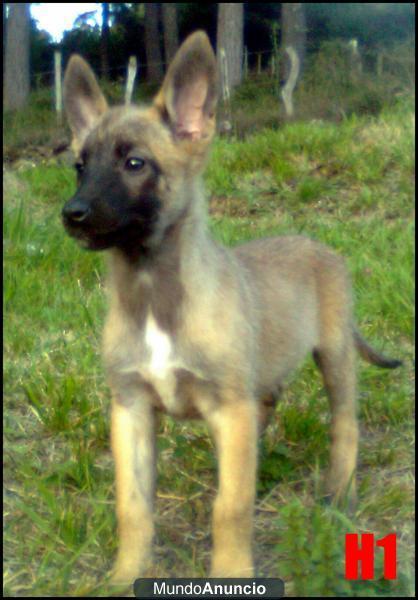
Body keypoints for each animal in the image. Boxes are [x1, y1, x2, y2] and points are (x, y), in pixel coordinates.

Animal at [62, 31, 402, 580]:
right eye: (79, 166)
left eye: (135, 163)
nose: (72, 214)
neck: (155, 294)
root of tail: (319, 246)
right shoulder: (130, 409)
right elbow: (133, 506)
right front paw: (125, 577)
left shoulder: (227, 407)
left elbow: (230, 507)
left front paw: (232, 573)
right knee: (266, 413)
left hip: (334, 357)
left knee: (345, 426)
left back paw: (340, 495)